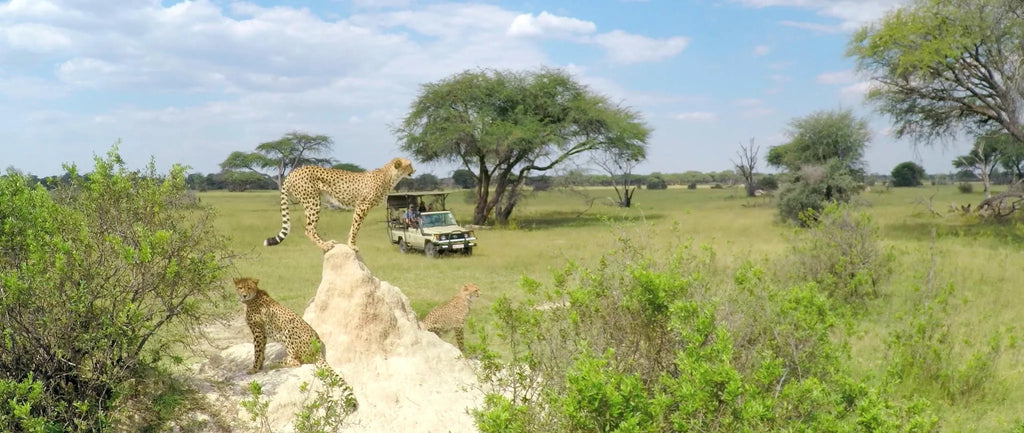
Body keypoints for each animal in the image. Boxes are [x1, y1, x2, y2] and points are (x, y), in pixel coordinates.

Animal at [234, 277, 358, 412]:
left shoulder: (258, 331)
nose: (244, 295)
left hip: (289, 329)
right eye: (241, 287)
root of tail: (318, 347)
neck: (252, 298)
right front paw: (260, 366)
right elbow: (261, 350)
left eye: (249, 287)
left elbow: (257, 352)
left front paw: (254, 369)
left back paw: (275, 363)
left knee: (297, 362)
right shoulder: (262, 333)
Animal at [264, 157, 415, 252]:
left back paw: (327, 242)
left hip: (310, 202)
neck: (389, 176)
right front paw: (352, 245)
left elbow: (353, 226)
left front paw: (349, 243)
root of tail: (294, 171)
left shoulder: (360, 207)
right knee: (309, 229)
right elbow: (356, 227)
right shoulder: (362, 206)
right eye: (409, 164)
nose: (415, 170)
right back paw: (325, 245)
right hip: (313, 202)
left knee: (311, 227)